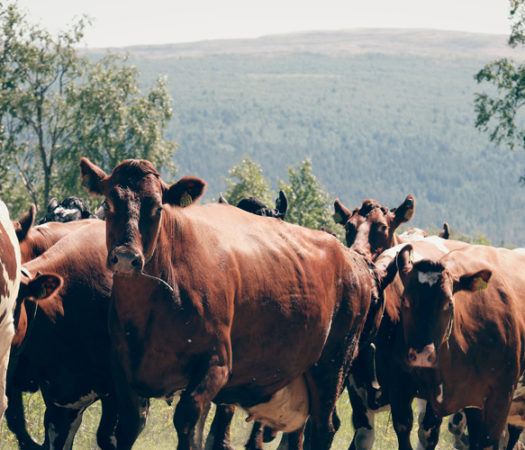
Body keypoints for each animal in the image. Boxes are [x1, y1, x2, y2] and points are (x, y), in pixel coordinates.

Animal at [80, 156, 384, 448]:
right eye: (108, 203)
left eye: (157, 208)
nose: (126, 257)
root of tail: (353, 260)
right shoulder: (122, 370)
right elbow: (129, 429)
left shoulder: (216, 365)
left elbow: (187, 423)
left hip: (333, 364)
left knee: (323, 428)